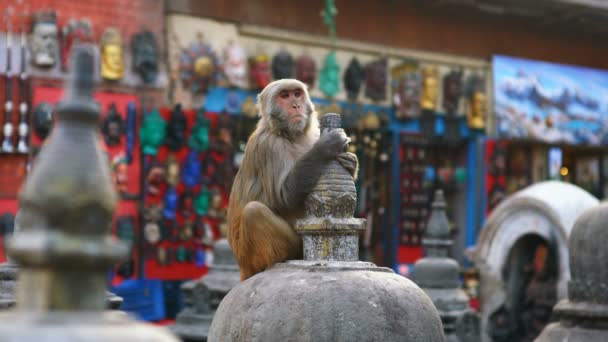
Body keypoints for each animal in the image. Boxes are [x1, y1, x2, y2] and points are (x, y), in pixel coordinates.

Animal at [230, 79, 358, 280]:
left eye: (297, 94)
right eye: (284, 96)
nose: (295, 105)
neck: (289, 134)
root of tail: (243, 267)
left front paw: (351, 162)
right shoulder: (269, 145)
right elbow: (284, 196)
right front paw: (325, 146)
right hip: (248, 256)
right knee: (254, 212)